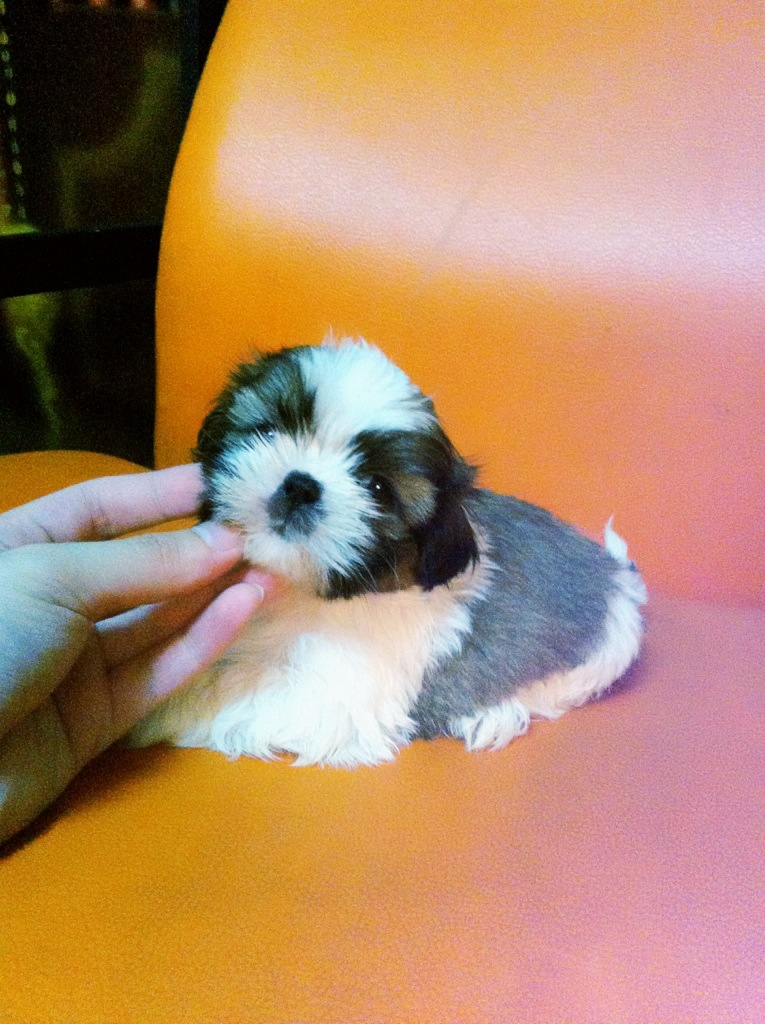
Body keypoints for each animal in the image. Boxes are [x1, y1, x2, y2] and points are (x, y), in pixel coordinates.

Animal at [130, 337, 646, 766]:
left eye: (377, 488)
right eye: (270, 432)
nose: (301, 485)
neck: (304, 594)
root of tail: (616, 572)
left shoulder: (338, 700)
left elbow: (225, 695)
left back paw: (491, 714)